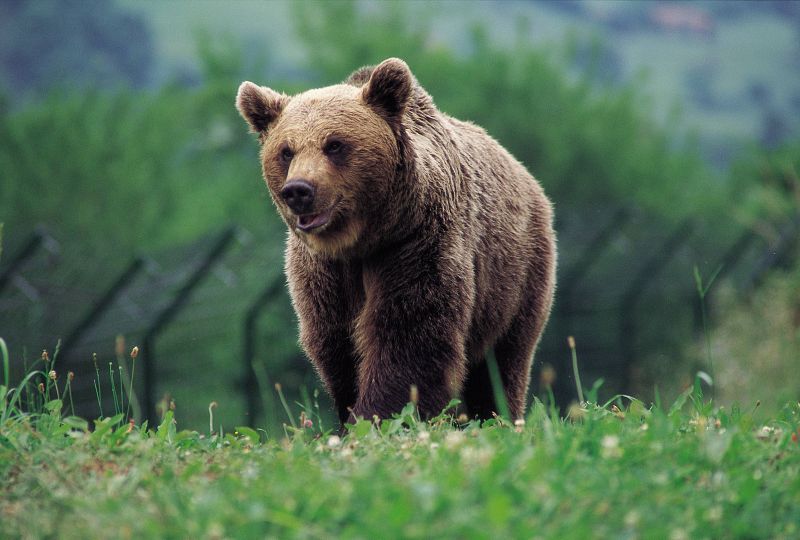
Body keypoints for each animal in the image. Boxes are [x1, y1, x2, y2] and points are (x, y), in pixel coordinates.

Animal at [236, 58, 556, 426]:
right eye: (286, 151)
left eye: (335, 144)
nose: (299, 191)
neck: (359, 242)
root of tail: (527, 176)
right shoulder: (323, 273)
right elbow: (336, 344)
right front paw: (350, 413)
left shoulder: (415, 244)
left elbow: (409, 336)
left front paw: (379, 415)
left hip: (516, 274)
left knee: (503, 360)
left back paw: (498, 416)